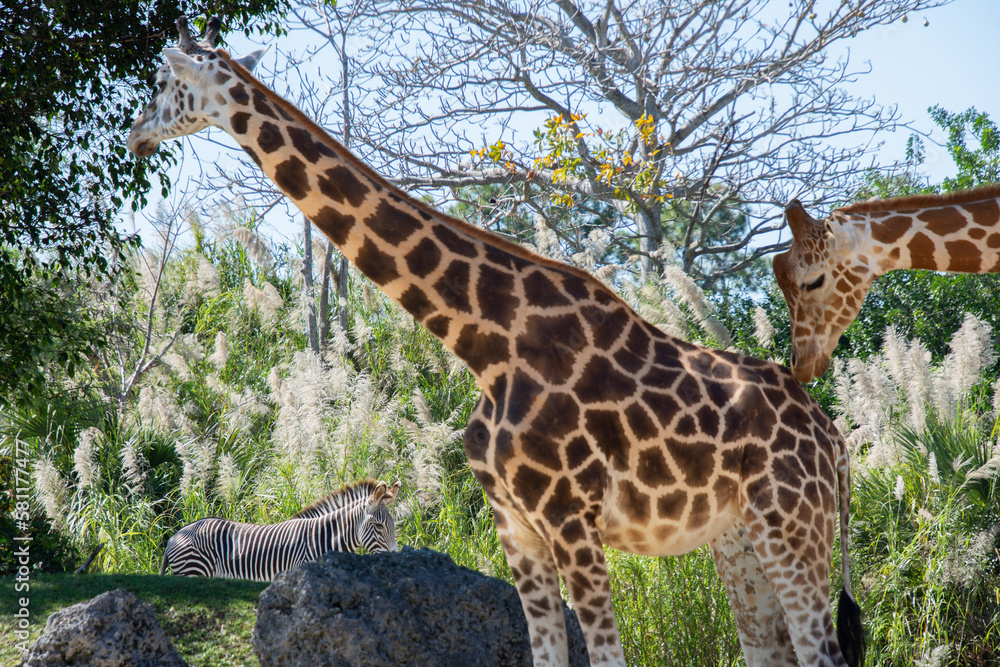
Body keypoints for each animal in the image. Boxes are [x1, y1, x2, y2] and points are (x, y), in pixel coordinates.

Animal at [127, 17, 864, 667]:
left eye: (162, 81)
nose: (134, 133)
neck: (484, 341)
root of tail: (835, 441)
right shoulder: (518, 526)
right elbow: (546, 655)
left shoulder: (570, 517)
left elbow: (606, 656)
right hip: (740, 539)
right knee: (777, 651)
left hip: (794, 525)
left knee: (823, 650)